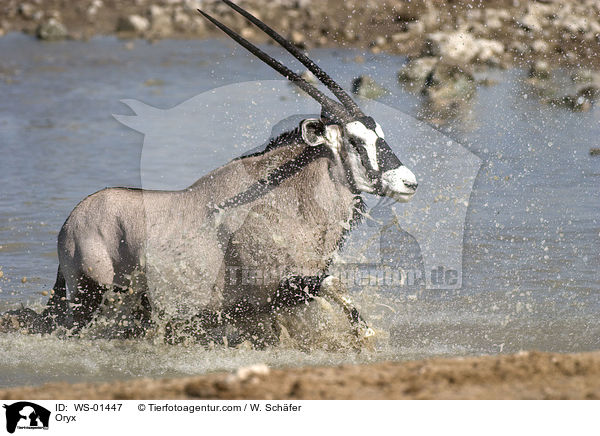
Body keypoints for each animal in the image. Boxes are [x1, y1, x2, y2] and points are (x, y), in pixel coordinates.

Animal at [41, 1, 418, 346]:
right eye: (356, 141)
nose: (409, 182)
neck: (287, 198)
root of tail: (70, 222)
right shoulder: (276, 286)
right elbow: (329, 288)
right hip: (92, 296)